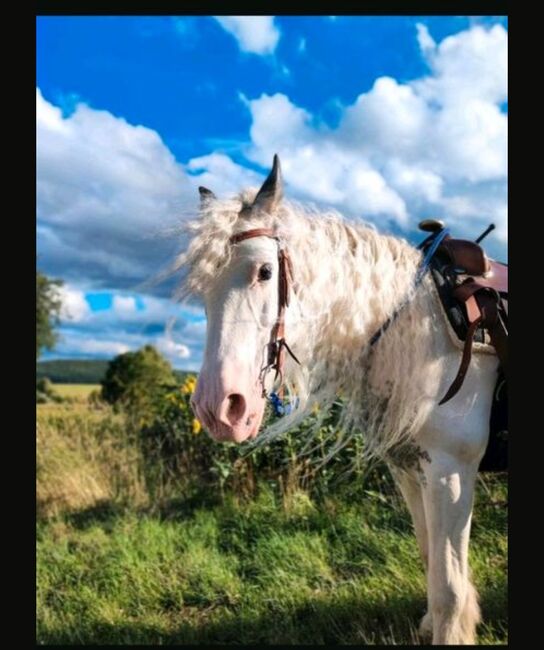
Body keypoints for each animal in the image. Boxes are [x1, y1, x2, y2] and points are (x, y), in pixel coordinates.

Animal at [176, 153, 500, 644]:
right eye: (201, 290)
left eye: (264, 272)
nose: (219, 408)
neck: (424, 329)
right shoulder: (410, 468)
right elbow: (430, 559)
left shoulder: (451, 472)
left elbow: (448, 587)